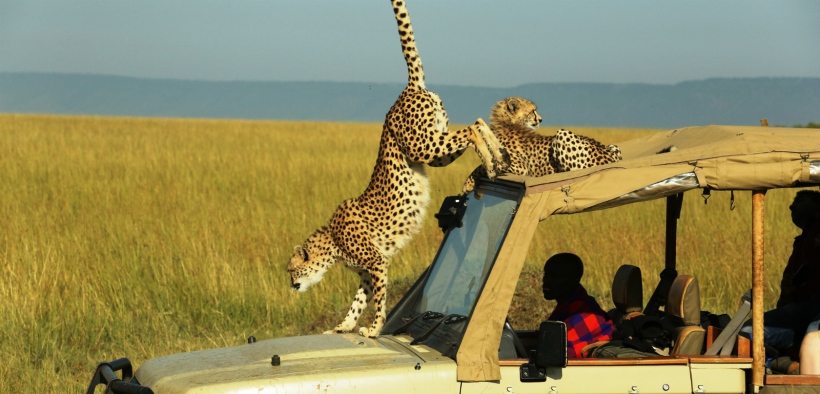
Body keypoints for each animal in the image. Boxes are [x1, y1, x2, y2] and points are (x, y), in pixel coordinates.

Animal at [288, 0, 506, 338]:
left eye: (291, 269)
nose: (290, 285)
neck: (331, 242)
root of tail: (407, 89)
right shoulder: (368, 270)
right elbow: (358, 301)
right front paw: (343, 327)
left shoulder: (377, 262)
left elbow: (379, 299)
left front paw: (374, 328)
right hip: (434, 149)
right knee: (479, 122)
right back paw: (497, 157)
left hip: (423, 145)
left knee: (472, 128)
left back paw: (490, 159)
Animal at [462, 96, 620, 193]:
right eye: (533, 111)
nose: (541, 119)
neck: (506, 122)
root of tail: (608, 155)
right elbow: (484, 164)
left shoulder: (520, 168)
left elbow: (484, 165)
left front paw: (468, 183)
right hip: (614, 147)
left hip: (562, 134)